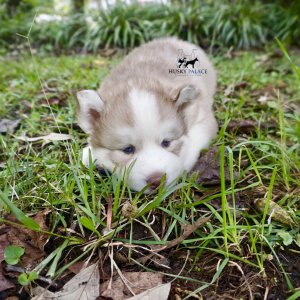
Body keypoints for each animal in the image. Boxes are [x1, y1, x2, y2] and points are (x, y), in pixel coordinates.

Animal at [77, 37, 218, 192]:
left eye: (166, 142)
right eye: (128, 149)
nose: (156, 180)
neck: (140, 80)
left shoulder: (204, 120)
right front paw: (89, 154)